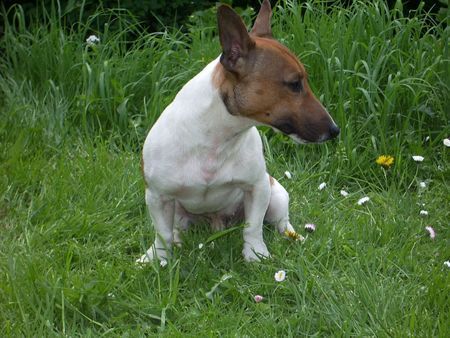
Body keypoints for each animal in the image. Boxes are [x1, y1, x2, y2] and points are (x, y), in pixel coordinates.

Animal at [139, 0, 340, 262]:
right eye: (294, 84)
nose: (335, 130)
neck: (217, 137)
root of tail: (216, 222)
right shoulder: (157, 196)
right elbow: (161, 233)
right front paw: (158, 259)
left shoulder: (258, 187)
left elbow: (253, 227)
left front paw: (255, 255)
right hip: (179, 212)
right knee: (174, 229)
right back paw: (178, 240)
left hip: (276, 193)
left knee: (282, 222)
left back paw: (295, 237)